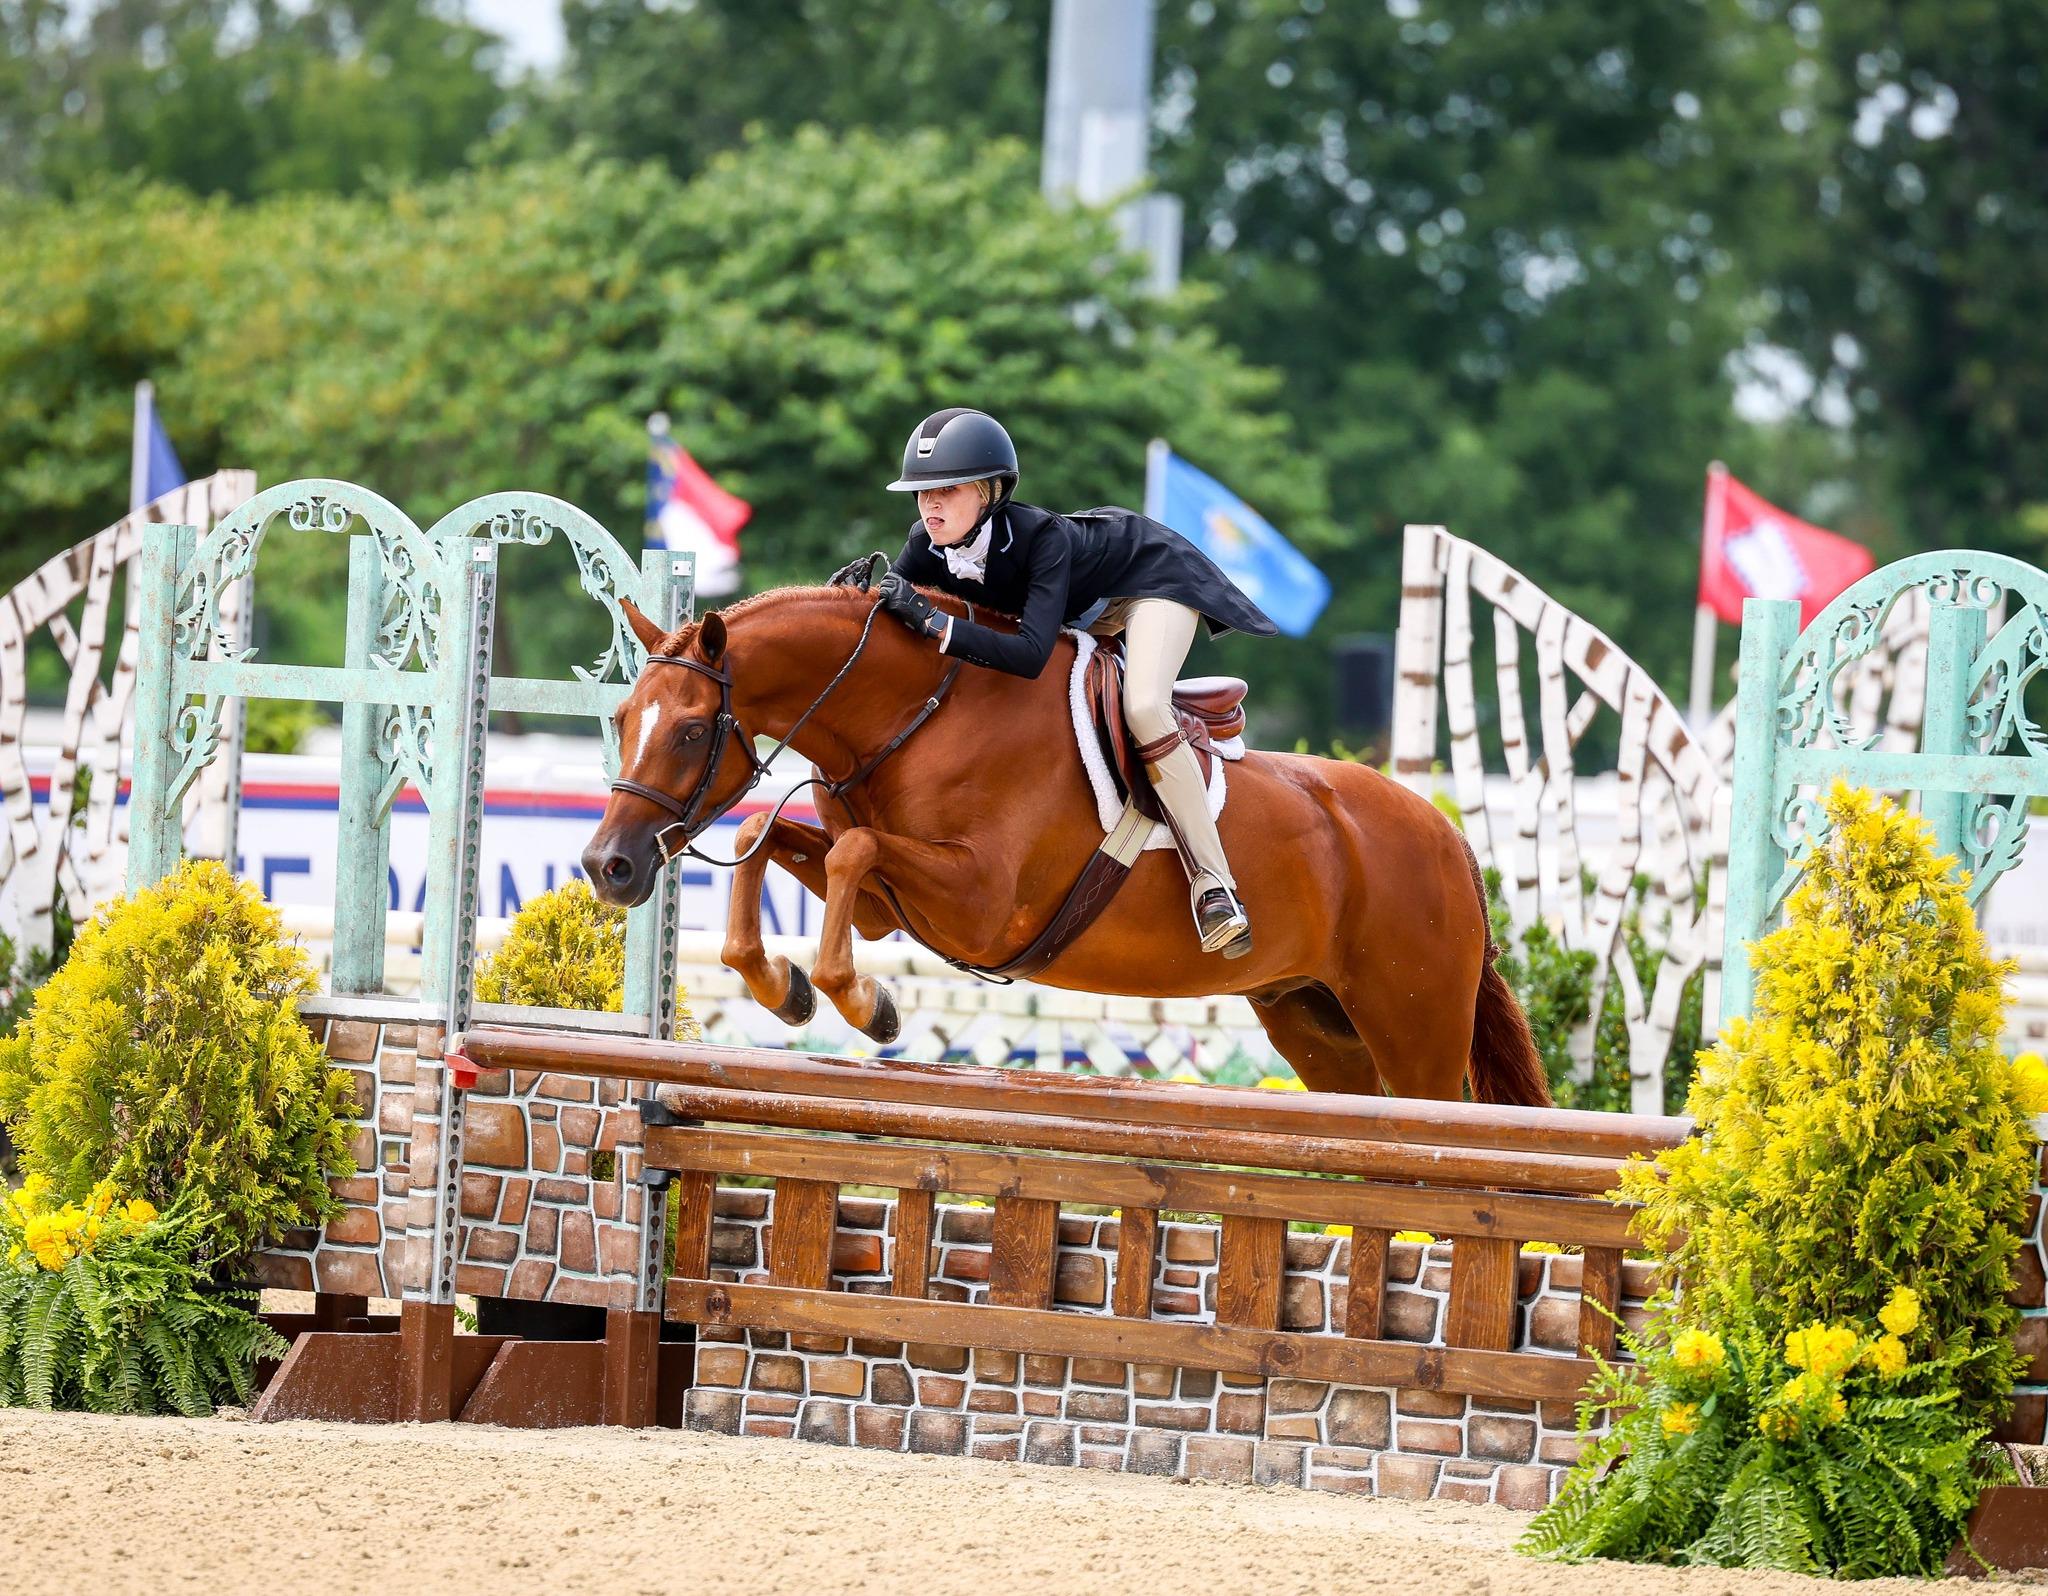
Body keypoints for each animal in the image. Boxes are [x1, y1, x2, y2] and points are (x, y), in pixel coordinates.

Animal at [582, 584, 1549, 1104]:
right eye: (624, 719)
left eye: (690, 731)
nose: (608, 867)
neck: (914, 712)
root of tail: (1448, 836)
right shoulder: (897, 903)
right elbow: (766, 831)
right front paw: (782, 987)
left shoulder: (978, 903)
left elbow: (853, 857)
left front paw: (864, 1004)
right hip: (1315, 1024)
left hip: (1415, 1030)